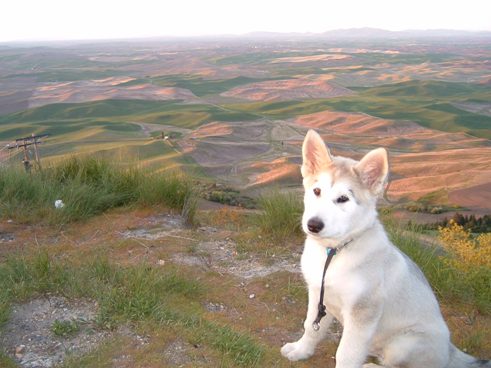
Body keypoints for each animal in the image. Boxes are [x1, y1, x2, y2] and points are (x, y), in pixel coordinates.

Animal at [278, 131, 490, 368]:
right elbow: (311, 327)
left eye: (343, 199)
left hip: (404, 343)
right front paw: (301, 350)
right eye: (316, 191)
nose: (313, 225)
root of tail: (449, 350)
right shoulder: (318, 295)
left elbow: (346, 353)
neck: (334, 252)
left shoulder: (362, 312)